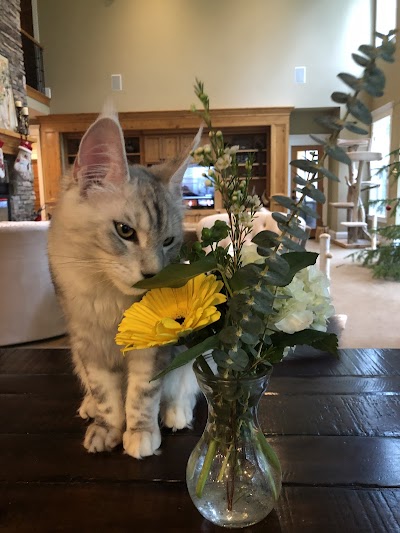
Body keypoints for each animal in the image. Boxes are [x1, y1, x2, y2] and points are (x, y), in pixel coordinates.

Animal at [48, 111, 202, 458]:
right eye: (125, 231)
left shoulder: (151, 349)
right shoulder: (89, 346)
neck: (109, 298)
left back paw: (176, 414)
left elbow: (142, 395)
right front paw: (107, 430)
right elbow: (106, 398)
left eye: (168, 241)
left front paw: (141, 433)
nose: (153, 273)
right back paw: (89, 407)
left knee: (184, 388)